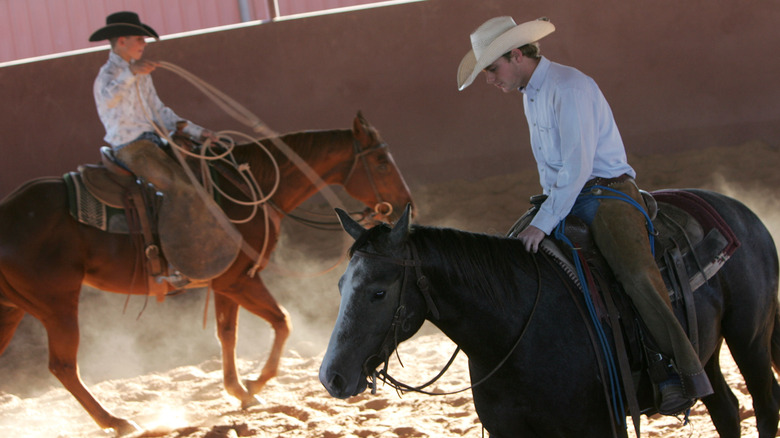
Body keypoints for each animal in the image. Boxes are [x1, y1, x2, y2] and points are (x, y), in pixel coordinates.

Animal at [0, 112, 414, 434]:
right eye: (381, 162)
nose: (405, 203)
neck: (250, 189)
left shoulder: (225, 284)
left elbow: (227, 333)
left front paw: (239, 389)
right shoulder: (240, 279)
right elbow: (283, 322)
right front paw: (254, 383)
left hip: (13, 309)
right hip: (57, 305)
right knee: (64, 367)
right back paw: (116, 421)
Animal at [316, 191, 780, 438]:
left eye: (378, 292)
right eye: (340, 286)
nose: (331, 377)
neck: (516, 334)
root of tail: (745, 214)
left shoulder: (599, 426)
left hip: (750, 341)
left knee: (764, 402)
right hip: (703, 351)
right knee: (726, 408)